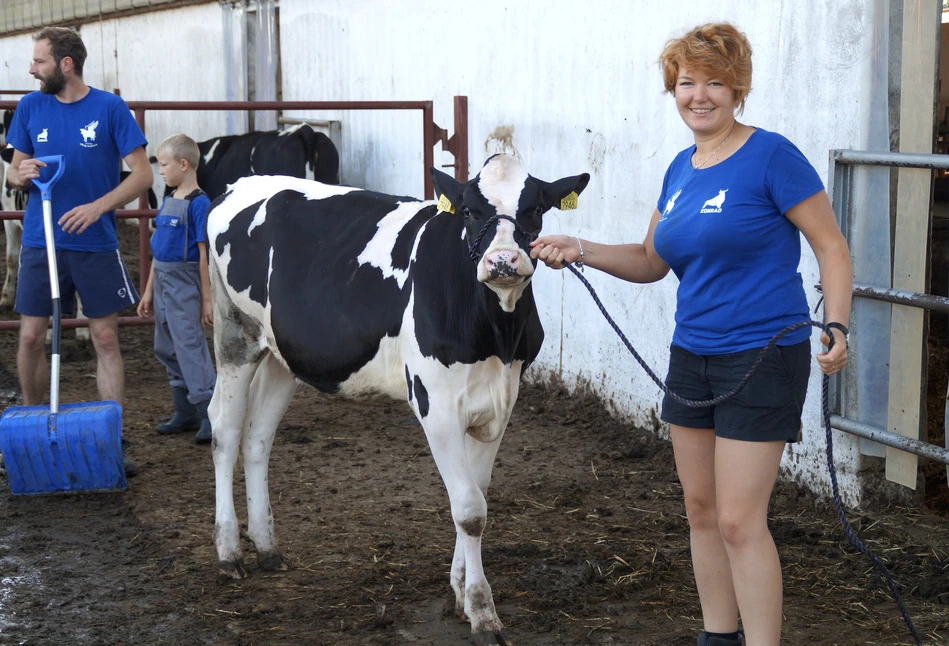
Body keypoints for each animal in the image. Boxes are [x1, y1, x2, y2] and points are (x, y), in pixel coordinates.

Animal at [209, 154, 584, 644]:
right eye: (469, 210)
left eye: (535, 209)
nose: (502, 261)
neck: (496, 336)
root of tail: (239, 184)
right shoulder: (435, 405)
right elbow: (469, 510)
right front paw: (483, 613)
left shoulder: (499, 404)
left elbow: (476, 495)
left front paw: (460, 591)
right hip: (236, 334)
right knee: (225, 431)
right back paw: (230, 552)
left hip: (282, 355)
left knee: (258, 438)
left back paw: (268, 547)